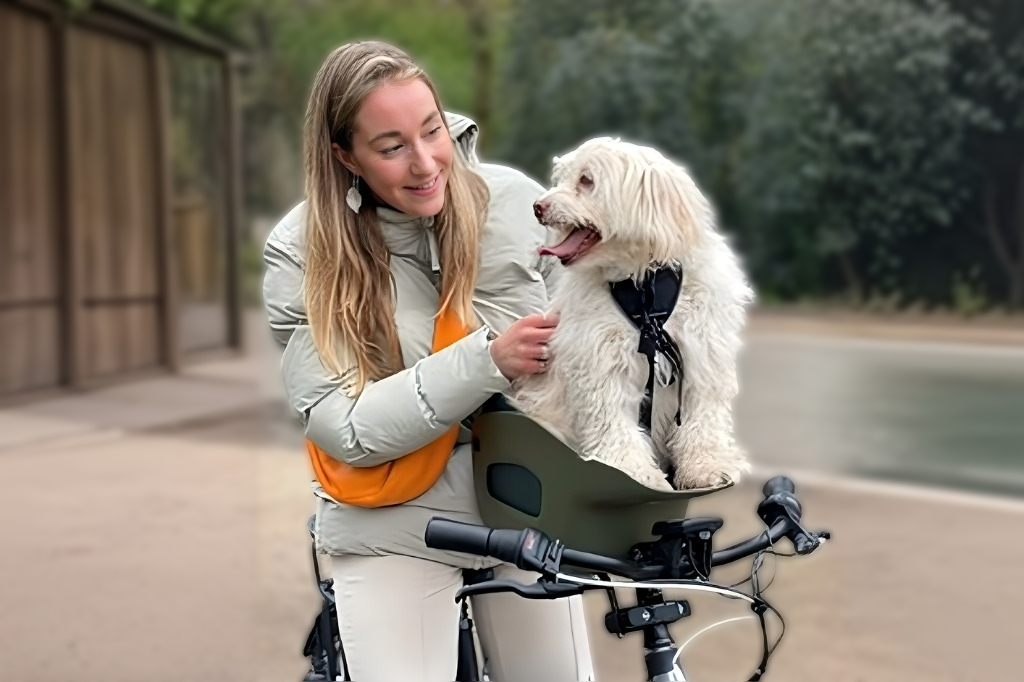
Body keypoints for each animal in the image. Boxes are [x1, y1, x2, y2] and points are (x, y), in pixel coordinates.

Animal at [509, 137, 757, 489]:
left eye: (586, 180)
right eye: (561, 179)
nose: (538, 207)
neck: (644, 291)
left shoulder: (702, 357)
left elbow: (703, 419)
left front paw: (706, 466)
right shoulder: (602, 364)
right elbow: (614, 424)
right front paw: (634, 472)